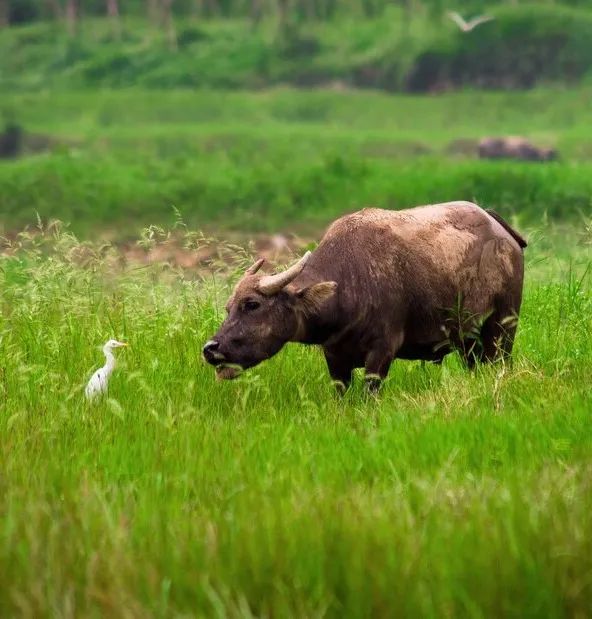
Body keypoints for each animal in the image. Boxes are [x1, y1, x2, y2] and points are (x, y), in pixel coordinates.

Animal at [205, 202, 528, 392]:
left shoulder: (382, 352)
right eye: (228, 308)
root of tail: (503, 231)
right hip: (468, 341)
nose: (210, 348)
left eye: (252, 304)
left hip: (503, 328)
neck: (348, 283)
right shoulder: (335, 358)